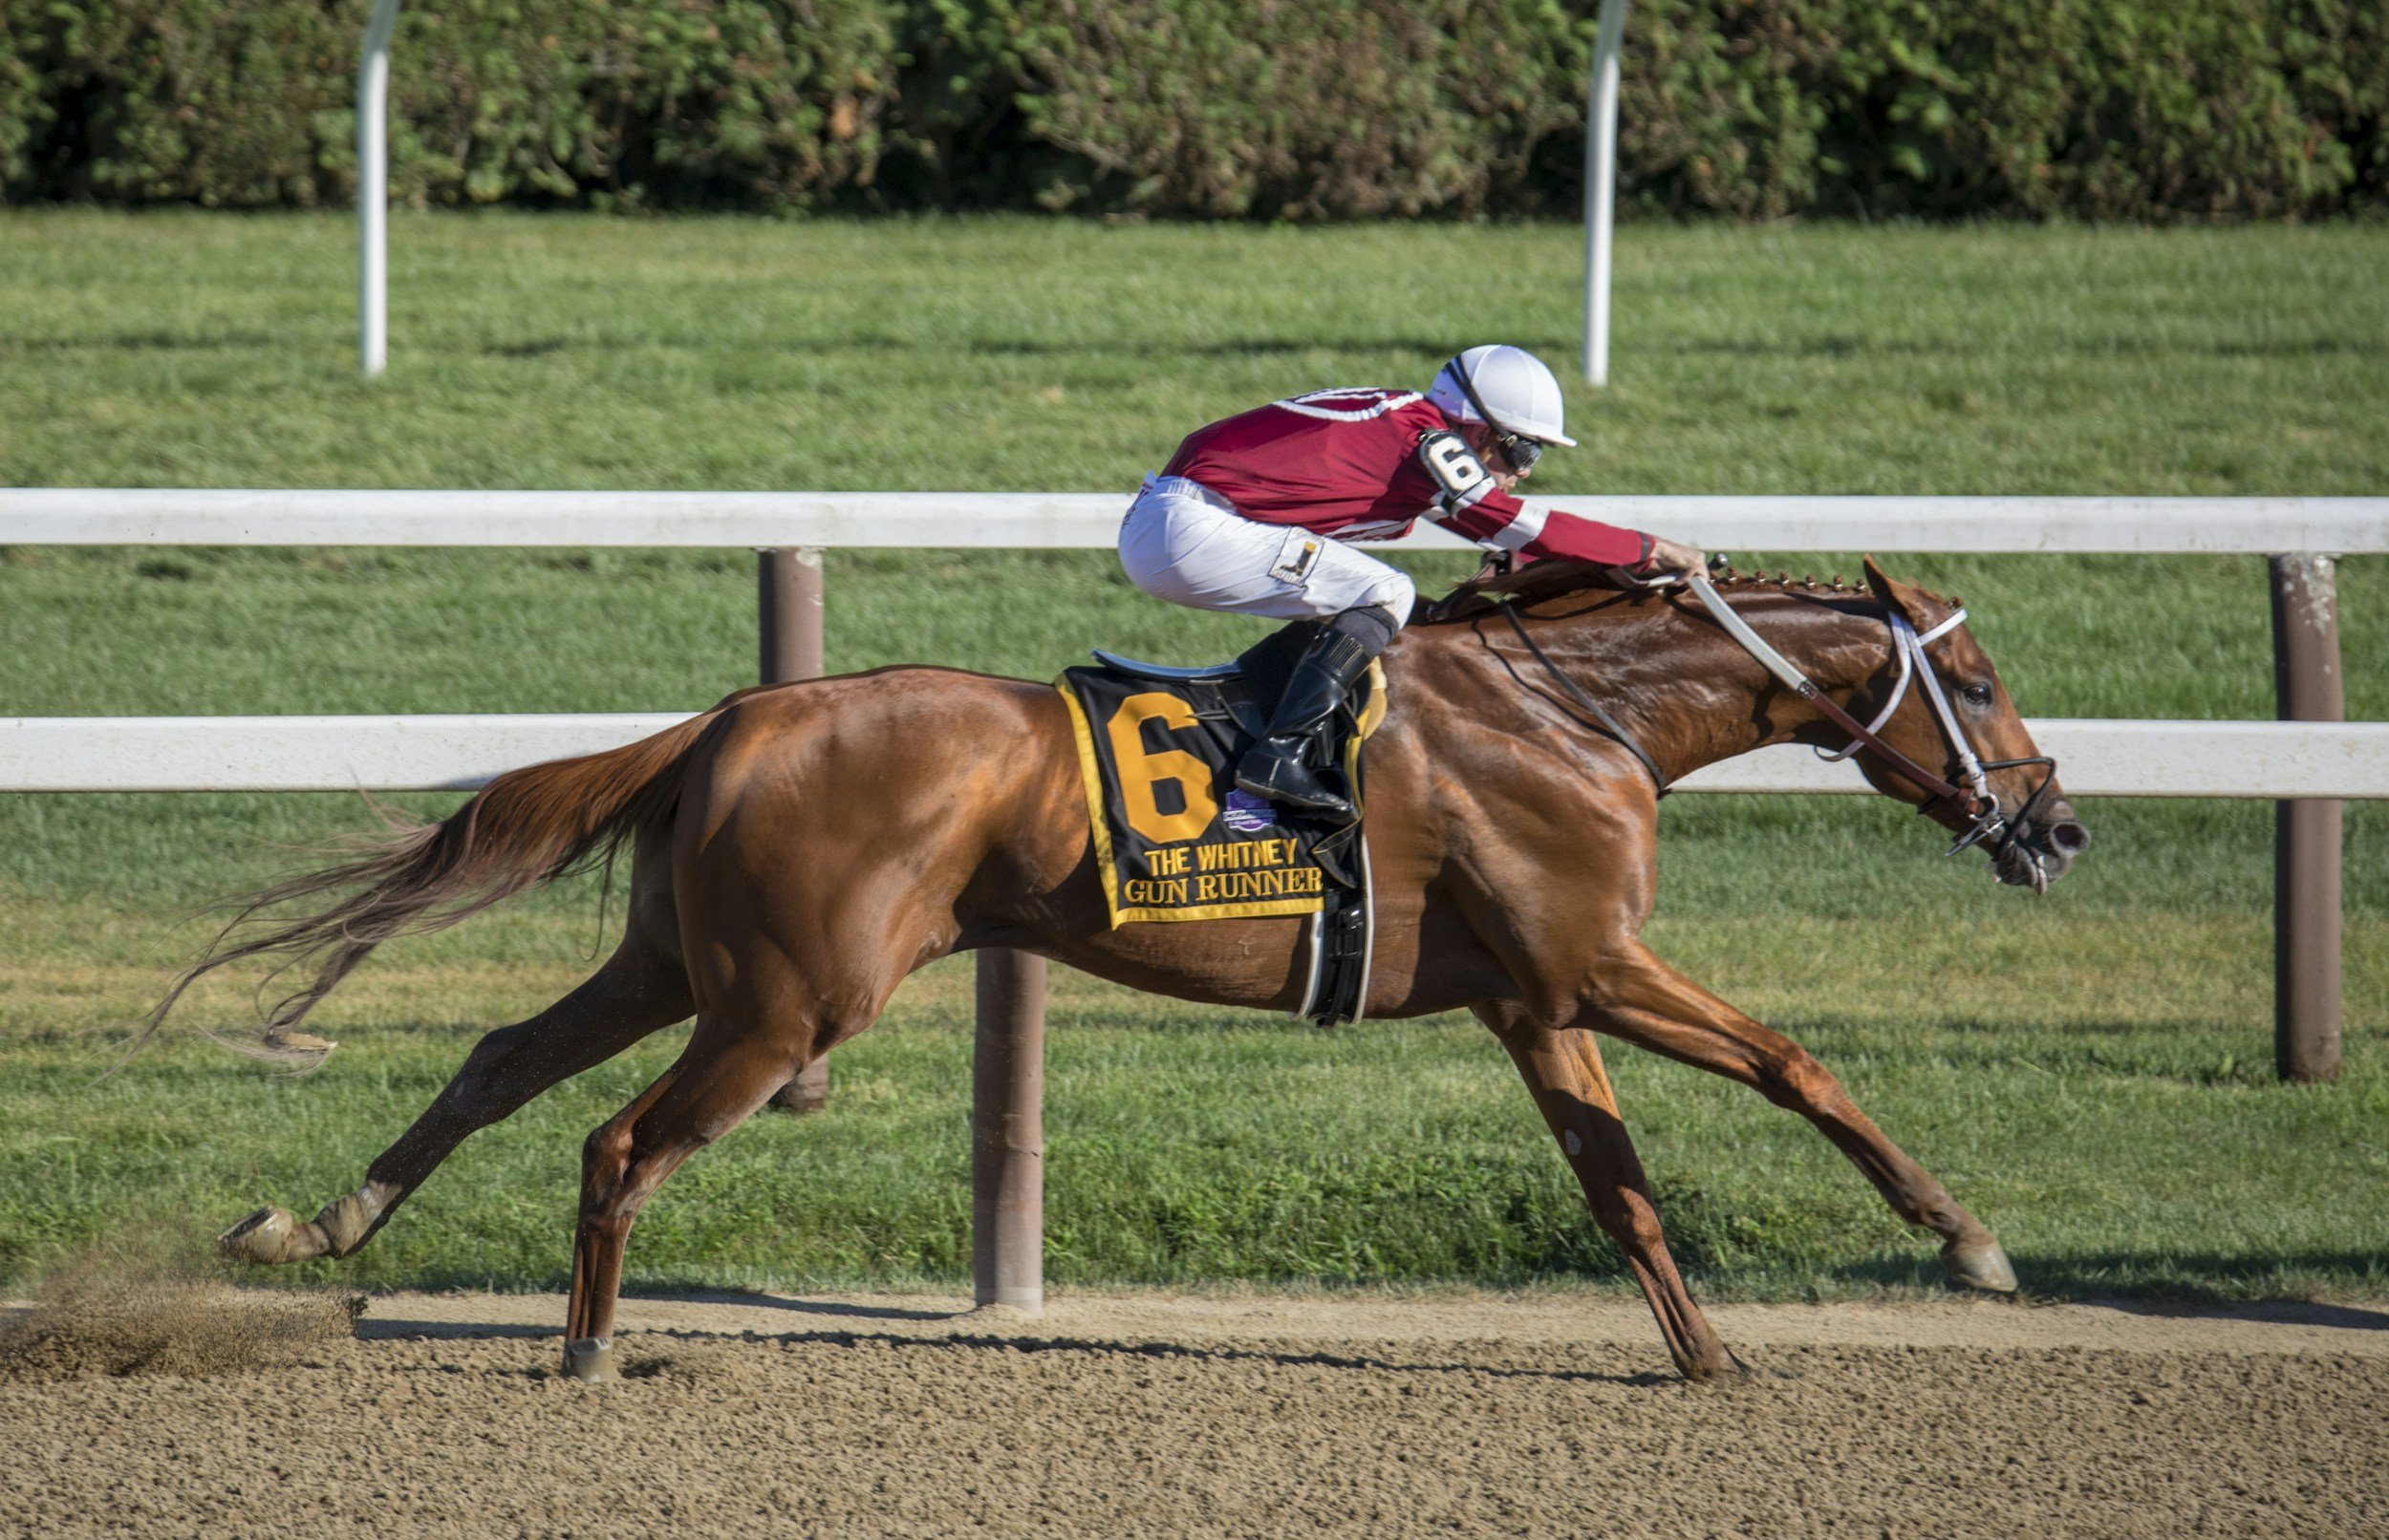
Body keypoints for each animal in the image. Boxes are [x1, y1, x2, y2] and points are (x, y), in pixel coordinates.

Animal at [173, 556, 2089, 1383]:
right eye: (1983, 683)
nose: (2056, 826)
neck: (1580, 711)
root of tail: (733, 715)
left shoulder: (1536, 999)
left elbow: (1617, 1187)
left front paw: (1706, 1362)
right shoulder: (1592, 967)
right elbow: (1795, 1065)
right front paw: (1970, 1240)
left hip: (683, 965)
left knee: (502, 1056)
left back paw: (310, 1226)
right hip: (789, 1002)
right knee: (621, 1143)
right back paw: (582, 1355)